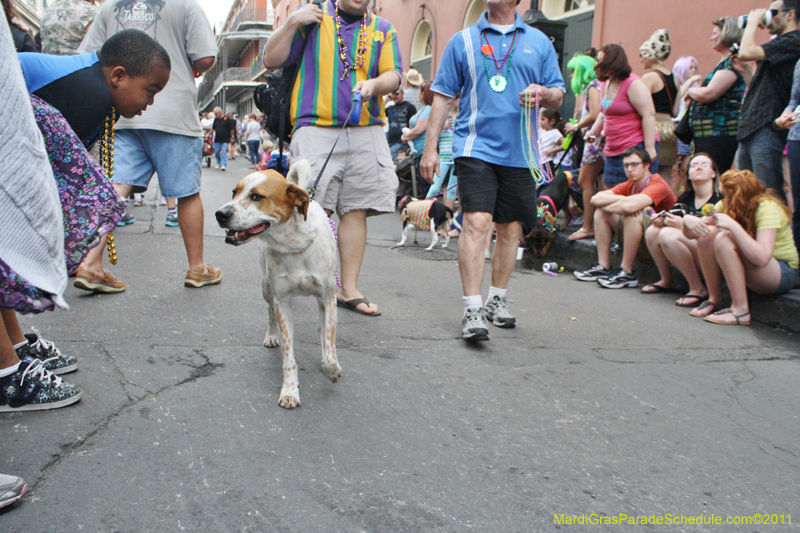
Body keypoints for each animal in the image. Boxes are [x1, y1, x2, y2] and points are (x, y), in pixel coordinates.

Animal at [214, 160, 340, 410]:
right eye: (234, 192)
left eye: (256, 196)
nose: (219, 214)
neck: (295, 246)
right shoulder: (283, 301)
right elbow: (288, 355)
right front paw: (290, 390)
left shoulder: (328, 297)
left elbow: (329, 350)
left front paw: (331, 369)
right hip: (265, 287)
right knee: (269, 311)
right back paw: (272, 335)